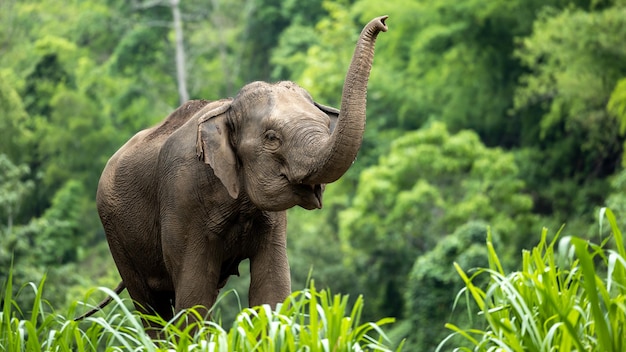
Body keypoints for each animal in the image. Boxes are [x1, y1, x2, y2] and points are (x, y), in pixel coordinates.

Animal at [78, 14, 386, 332]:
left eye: (326, 125)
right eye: (272, 138)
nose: (383, 21)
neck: (227, 108)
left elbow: (272, 288)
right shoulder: (182, 195)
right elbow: (194, 294)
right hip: (115, 232)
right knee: (150, 305)